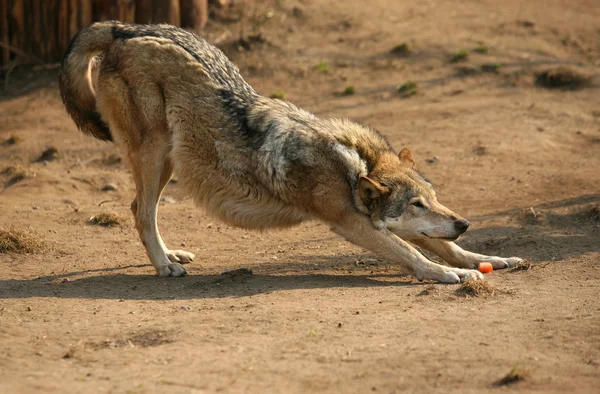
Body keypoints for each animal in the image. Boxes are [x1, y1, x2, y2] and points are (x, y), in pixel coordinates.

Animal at [58, 21, 524, 282]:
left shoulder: (379, 221)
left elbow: (446, 246)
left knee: (140, 209)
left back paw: (171, 254)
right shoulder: (349, 222)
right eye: (416, 204)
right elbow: (414, 254)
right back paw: (164, 266)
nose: (464, 222)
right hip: (156, 156)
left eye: (435, 198)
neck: (352, 163)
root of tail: (123, 29)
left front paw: (489, 260)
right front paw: (452, 274)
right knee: (141, 211)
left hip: (168, 160)